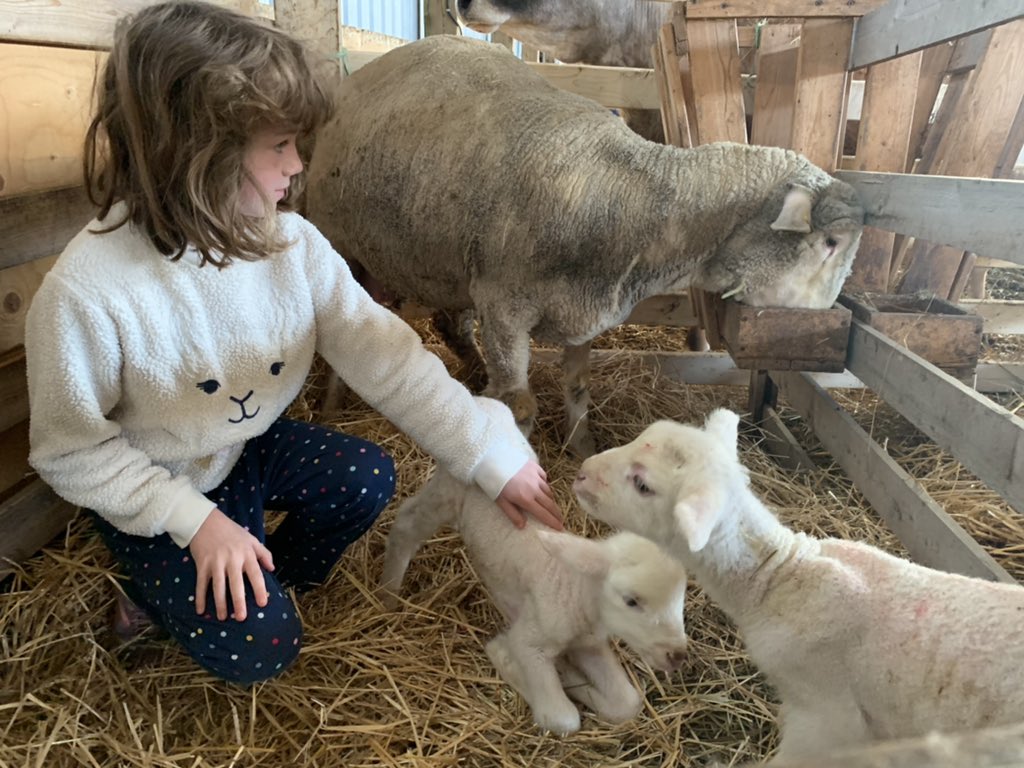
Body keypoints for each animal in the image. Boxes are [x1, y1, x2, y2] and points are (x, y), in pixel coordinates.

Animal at [305, 35, 864, 456]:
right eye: (831, 241)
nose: (826, 339)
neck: (624, 197)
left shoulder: (582, 310)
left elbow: (577, 388)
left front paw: (583, 449)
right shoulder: (504, 308)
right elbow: (520, 407)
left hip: (445, 261)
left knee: (451, 324)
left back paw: (471, 374)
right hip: (341, 240)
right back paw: (331, 407)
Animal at [377, 395, 689, 736]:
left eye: (681, 599)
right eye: (631, 601)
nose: (677, 656)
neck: (576, 590)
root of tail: (482, 401)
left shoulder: (590, 643)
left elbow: (627, 702)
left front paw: (572, 677)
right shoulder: (531, 640)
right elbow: (562, 717)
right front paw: (508, 659)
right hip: (448, 486)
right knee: (407, 522)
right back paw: (388, 593)